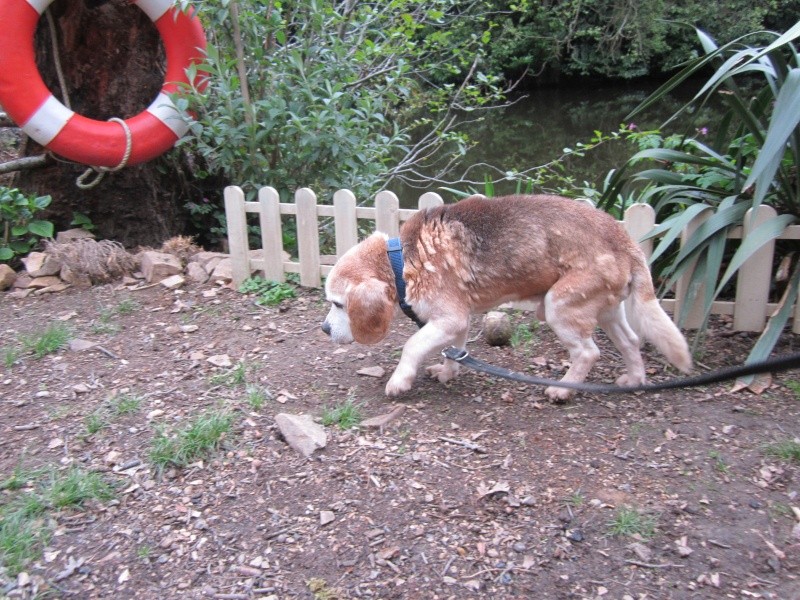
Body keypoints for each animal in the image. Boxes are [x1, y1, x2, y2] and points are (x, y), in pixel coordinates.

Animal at [322, 195, 692, 400]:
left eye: (338, 304)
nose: (324, 330)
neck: (402, 260)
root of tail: (624, 240)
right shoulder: (456, 322)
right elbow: (454, 351)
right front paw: (448, 373)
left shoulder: (450, 318)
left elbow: (412, 346)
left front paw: (400, 381)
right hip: (608, 311)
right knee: (631, 341)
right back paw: (635, 379)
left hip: (560, 306)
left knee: (588, 353)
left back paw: (563, 390)